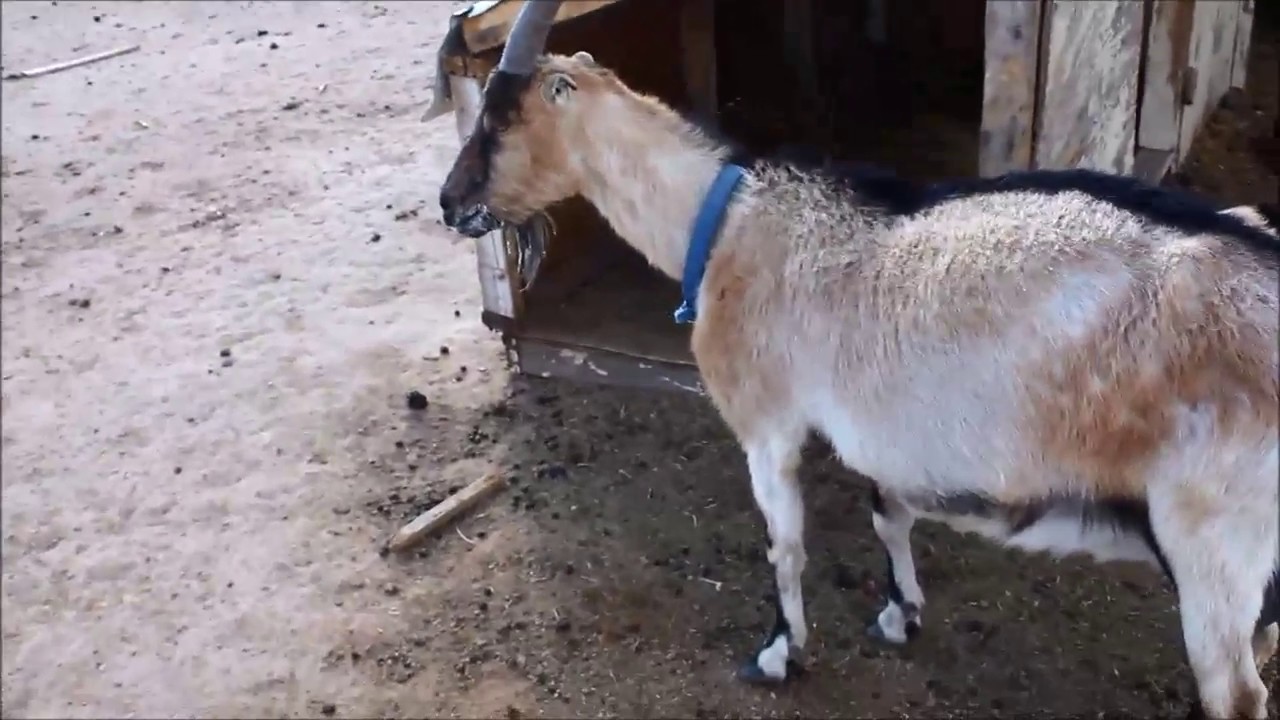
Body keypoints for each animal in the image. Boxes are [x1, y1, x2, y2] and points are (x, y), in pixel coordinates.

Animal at [437, 4, 1280, 716]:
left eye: (500, 119)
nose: (450, 202)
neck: (726, 220)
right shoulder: (886, 430)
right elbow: (888, 511)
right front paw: (901, 612)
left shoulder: (767, 420)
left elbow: (784, 542)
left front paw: (779, 655)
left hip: (1210, 535)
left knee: (1237, 691)